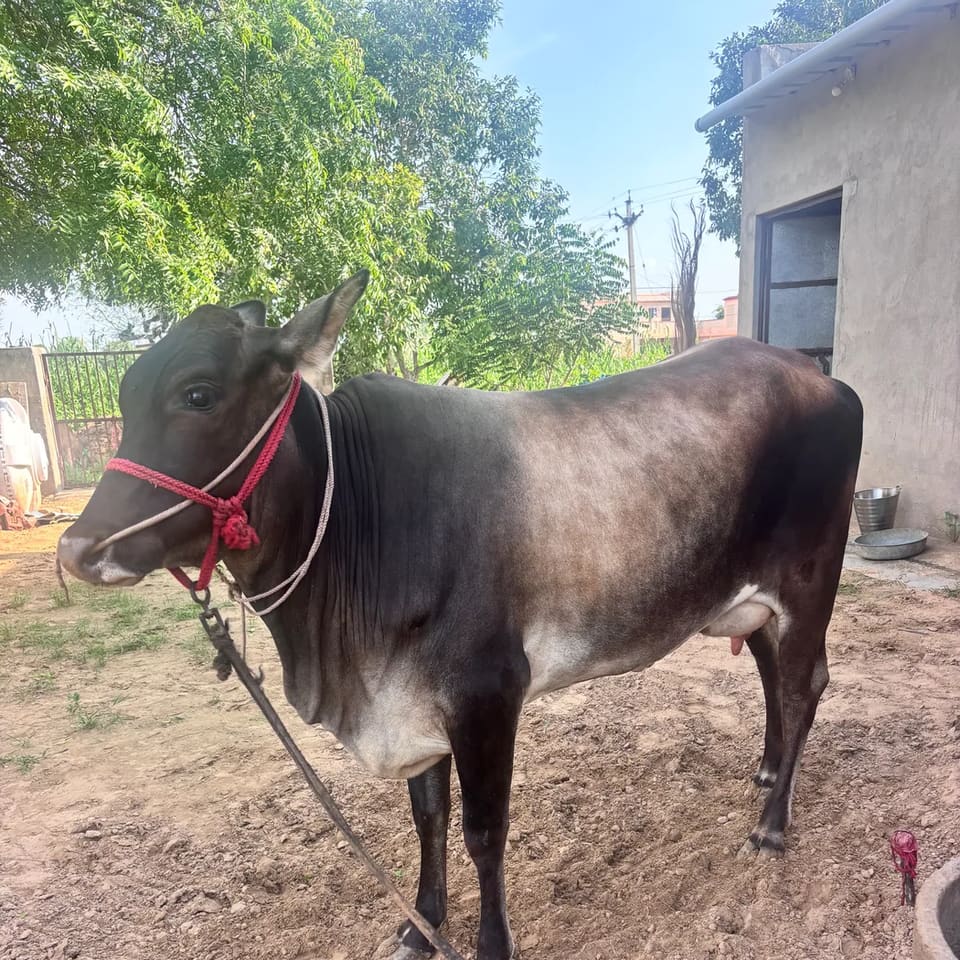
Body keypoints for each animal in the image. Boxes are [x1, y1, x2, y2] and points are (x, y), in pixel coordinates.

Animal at [58, 270, 863, 960]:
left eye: (198, 394)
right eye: (125, 395)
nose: (77, 547)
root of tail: (820, 376)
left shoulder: (487, 693)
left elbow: (483, 830)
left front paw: (491, 942)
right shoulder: (413, 701)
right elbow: (428, 818)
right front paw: (421, 924)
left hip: (809, 581)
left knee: (805, 685)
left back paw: (772, 825)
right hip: (747, 597)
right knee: (770, 671)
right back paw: (767, 771)